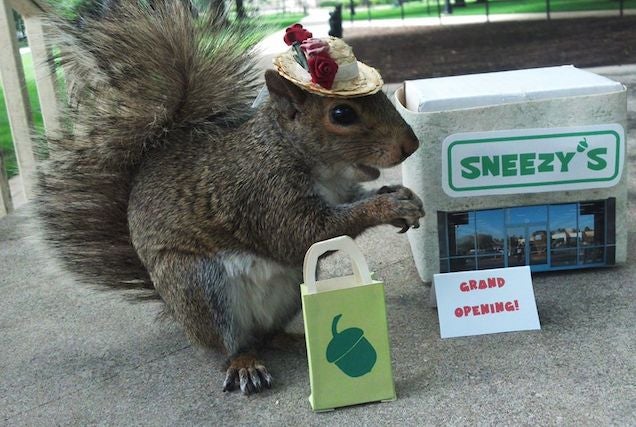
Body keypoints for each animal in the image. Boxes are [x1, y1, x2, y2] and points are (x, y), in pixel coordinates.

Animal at [33, 0, 422, 396]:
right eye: (342, 113)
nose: (411, 144)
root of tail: (175, 310)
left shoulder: (339, 190)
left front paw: (399, 196)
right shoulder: (263, 192)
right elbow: (304, 236)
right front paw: (387, 206)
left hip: (289, 288)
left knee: (267, 334)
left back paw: (293, 340)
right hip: (197, 285)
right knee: (230, 344)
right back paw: (245, 364)